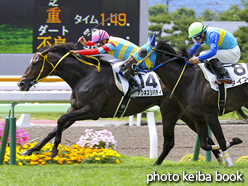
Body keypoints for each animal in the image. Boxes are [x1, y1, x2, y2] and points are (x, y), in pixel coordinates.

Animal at [17, 42, 238, 165]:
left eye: (35, 62)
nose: (21, 83)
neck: (85, 76)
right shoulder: (77, 108)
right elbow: (55, 127)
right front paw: (31, 150)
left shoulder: (92, 111)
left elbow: (61, 120)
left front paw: (54, 151)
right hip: (187, 113)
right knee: (206, 138)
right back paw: (221, 157)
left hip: (171, 112)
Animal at [124, 35, 246, 167]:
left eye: (142, 51)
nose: (123, 65)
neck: (190, 80)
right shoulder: (198, 117)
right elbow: (205, 144)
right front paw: (232, 144)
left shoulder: (211, 115)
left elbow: (222, 141)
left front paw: (229, 162)